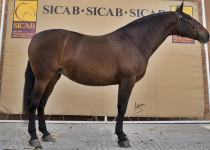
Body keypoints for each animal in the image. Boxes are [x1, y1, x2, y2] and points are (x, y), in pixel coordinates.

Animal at [23, 2, 208, 148]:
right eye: (188, 18)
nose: (206, 34)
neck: (135, 41)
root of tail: (35, 38)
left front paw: (122, 136)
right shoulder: (127, 81)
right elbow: (122, 107)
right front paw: (122, 138)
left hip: (53, 77)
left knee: (42, 103)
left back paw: (46, 134)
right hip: (43, 78)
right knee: (33, 102)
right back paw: (33, 137)